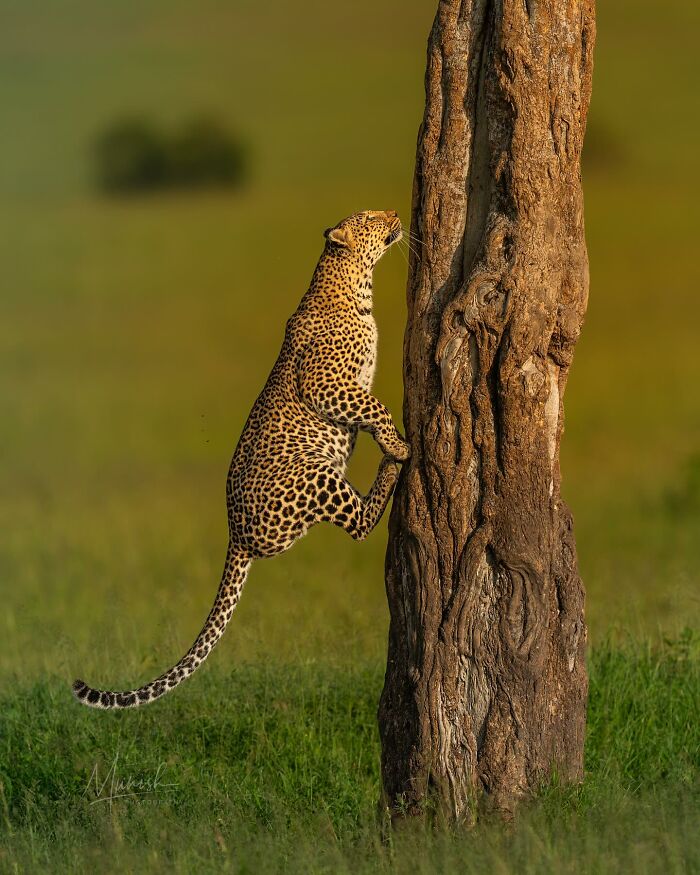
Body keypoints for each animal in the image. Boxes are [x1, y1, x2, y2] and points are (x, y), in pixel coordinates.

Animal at [72, 209, 409, 709]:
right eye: (369, 219)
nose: (395, 213)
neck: (353, 285)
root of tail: (235, 534)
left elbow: (369, 406)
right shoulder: (325, 384)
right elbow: (374, 407)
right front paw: (394, 440)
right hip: (312, 473)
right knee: (361, 524)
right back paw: (397, 460)